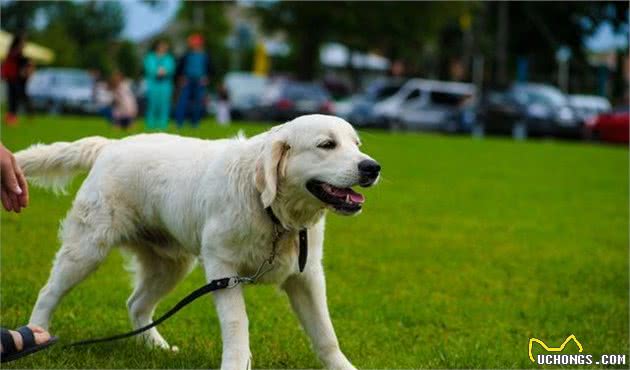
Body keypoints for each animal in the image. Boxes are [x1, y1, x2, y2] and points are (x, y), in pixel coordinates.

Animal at [16, 114, 380, 368]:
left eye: (357, 145)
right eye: (327, 145)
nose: (372, 167)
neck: (273, 212)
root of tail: (110, 145)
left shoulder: (306, 276)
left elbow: (326, 335)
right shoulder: (223, 269)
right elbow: (237, 325)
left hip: (172, 265)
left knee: (137, 304)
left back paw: (157, 348)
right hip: (88, 249)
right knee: (49, 292)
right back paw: (35, 336)